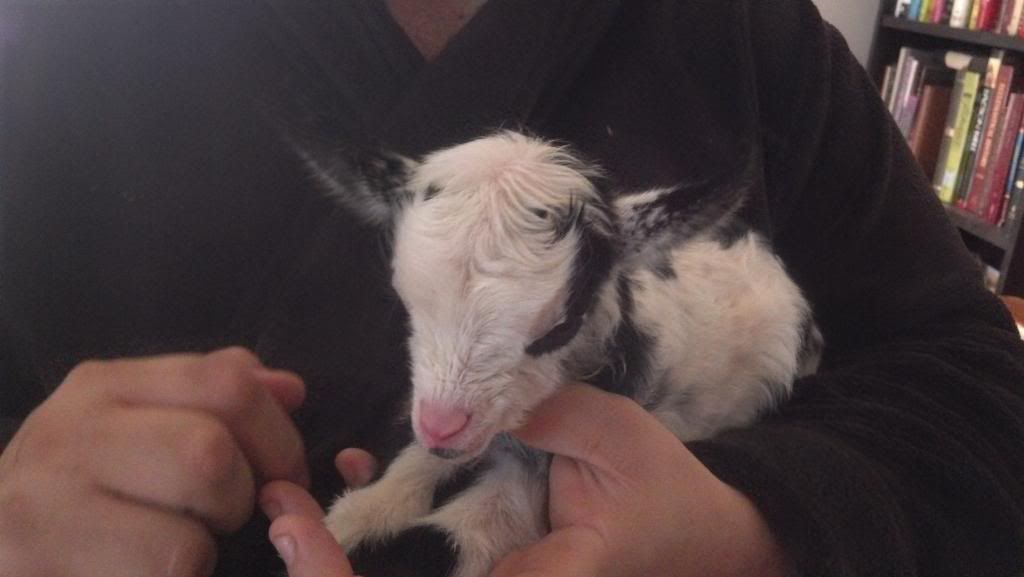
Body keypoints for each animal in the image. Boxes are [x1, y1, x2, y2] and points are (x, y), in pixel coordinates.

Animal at [300, 131, 822, 577]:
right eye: (408, 305)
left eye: (562, 327)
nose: (440, 426)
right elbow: (402, 476)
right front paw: (352, 517)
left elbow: (459, 536)